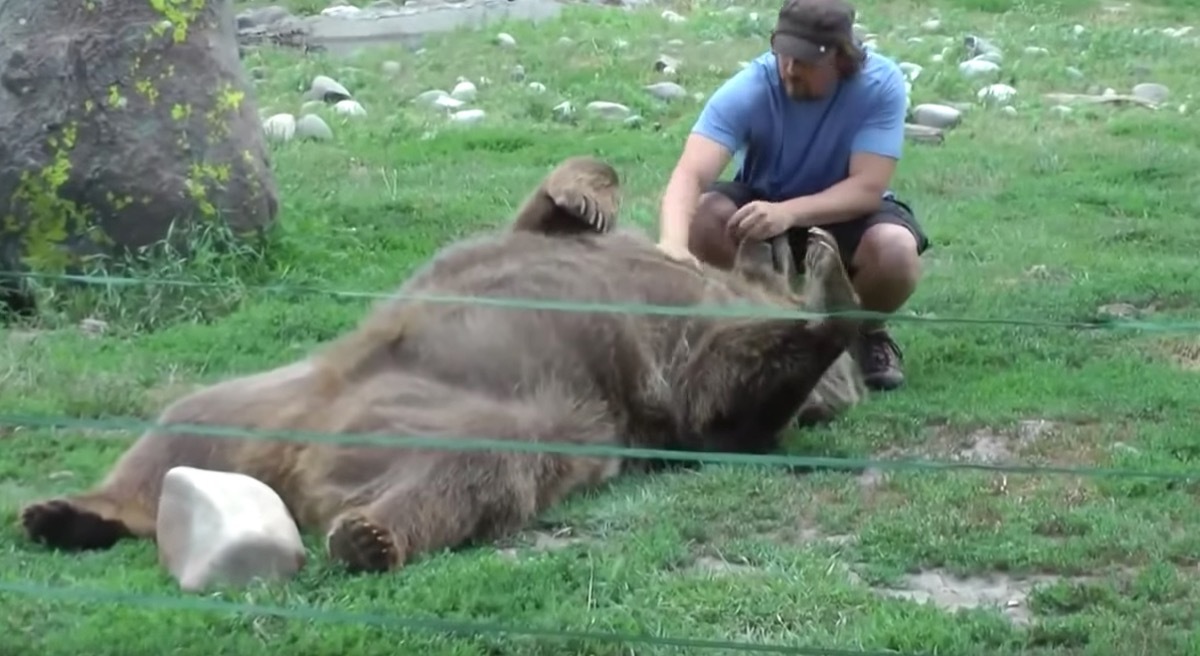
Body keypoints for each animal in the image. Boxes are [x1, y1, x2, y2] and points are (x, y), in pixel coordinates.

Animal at [18, 157, 864, 573]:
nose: (795, 246)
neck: (734, 292)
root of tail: (293, 466)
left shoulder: (676, 368)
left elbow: (725, 406)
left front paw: (831, 283)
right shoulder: (598, 268)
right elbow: (548, 214)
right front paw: (585, 192)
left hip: (503, 420)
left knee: (468, 473)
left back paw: (370, 536)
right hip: (258, 396)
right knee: (170, 433)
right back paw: (64, 512)